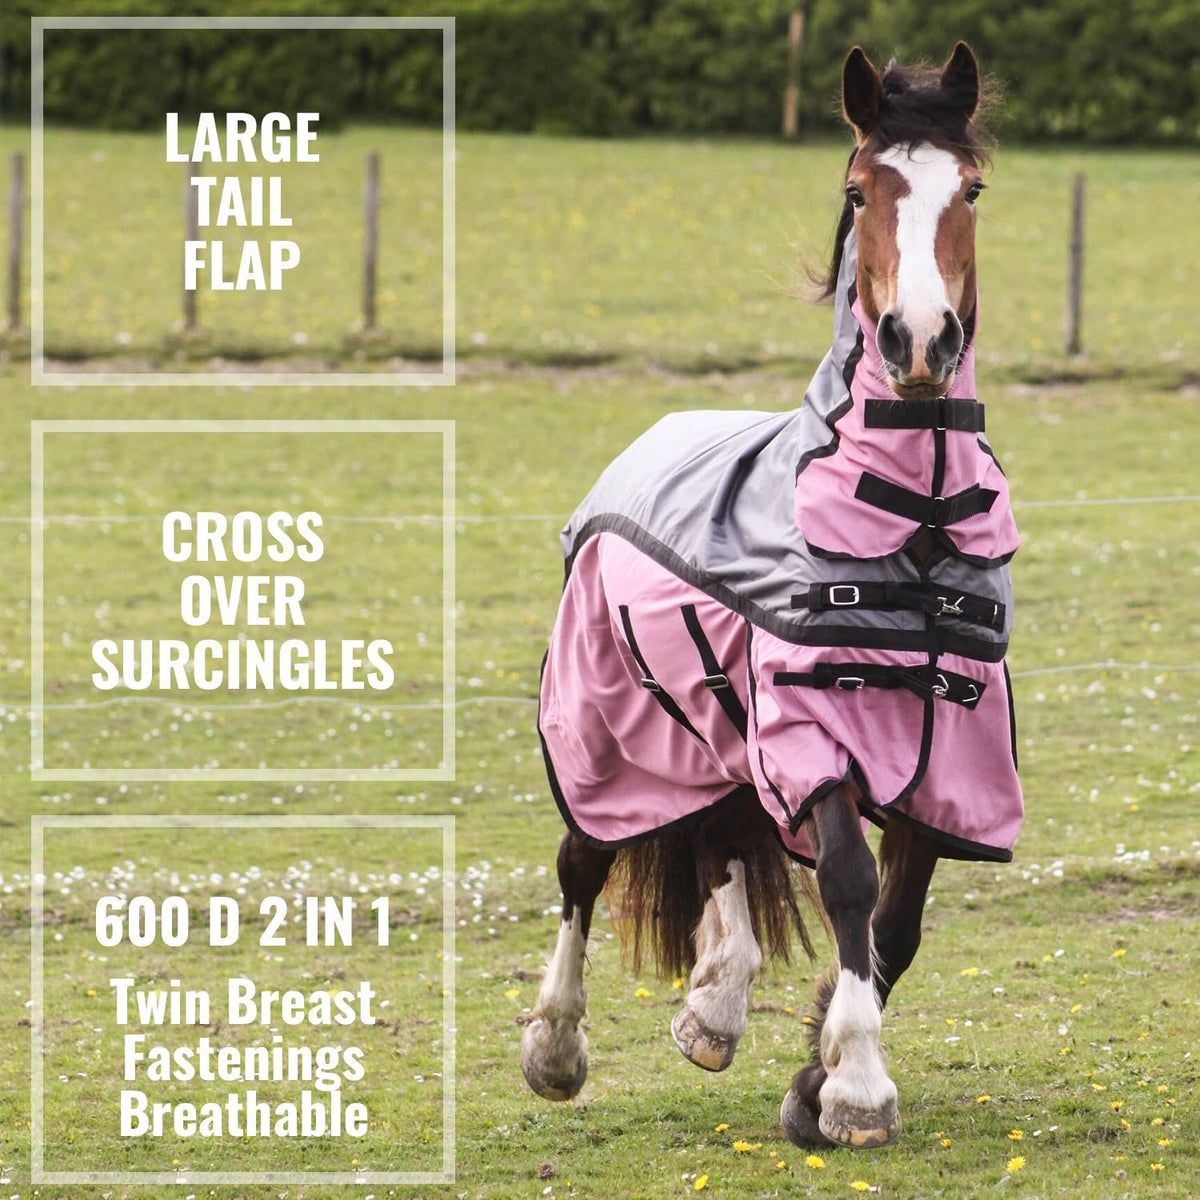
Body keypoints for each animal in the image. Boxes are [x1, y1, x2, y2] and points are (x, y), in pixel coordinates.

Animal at [522, 42, 1022, 1152]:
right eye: (860, 188)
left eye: (970, 189)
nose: (919, 341)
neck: (915, 522)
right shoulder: (810, 734)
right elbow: (846, 883)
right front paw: (859, 1088)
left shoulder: (949, 765)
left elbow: (892, 925)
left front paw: (815, 1079)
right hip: (601, 731)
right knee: (585, 861)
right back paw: (557, 1047)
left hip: (711, 734)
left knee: (722, 839)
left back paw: (714, 1008)